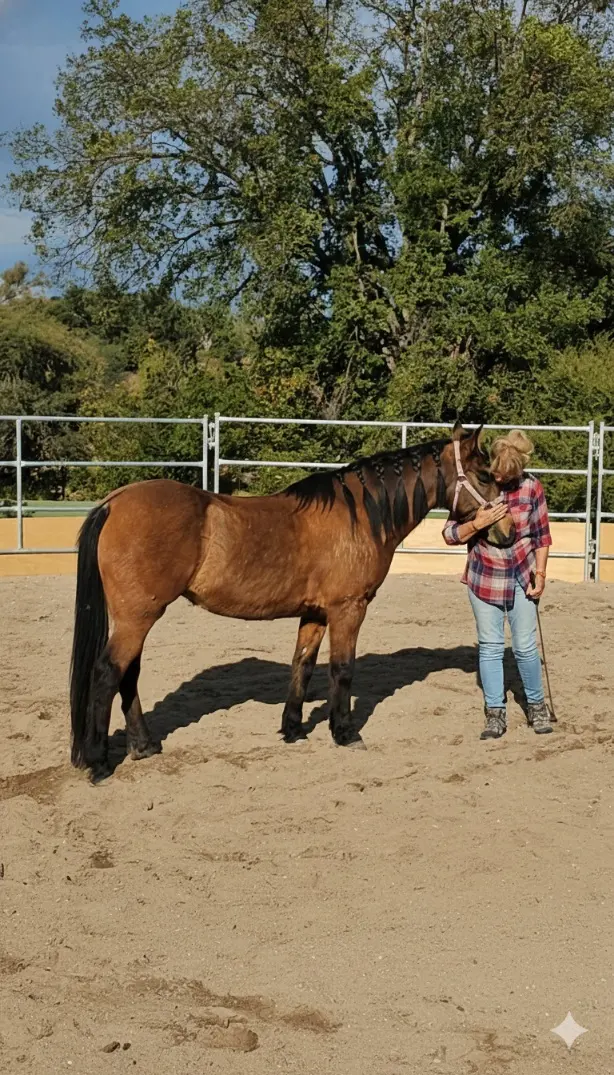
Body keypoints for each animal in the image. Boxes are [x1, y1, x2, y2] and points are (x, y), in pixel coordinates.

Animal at [70, 421, 515, 781]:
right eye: (483, 474)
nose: (507, 531)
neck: (360, 515)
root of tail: (114, 502)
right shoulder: (348, 608)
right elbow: (342, 669)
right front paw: (344, 732)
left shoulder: (315, 614)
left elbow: (303, 665)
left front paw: (293, 729)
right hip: (138, 616)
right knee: (107, 673)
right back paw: (99, 762)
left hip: (138, 617)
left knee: (128, 675)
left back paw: (144, 745)